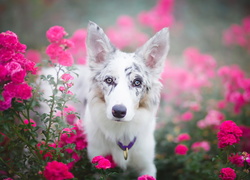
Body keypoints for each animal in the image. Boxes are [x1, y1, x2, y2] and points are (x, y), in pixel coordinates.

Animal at [84, 21, 170, 177]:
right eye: (109, 80)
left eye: (137, 82)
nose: (118, 111)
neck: (121, 132)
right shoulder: (96, 163)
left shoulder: (147, 166)